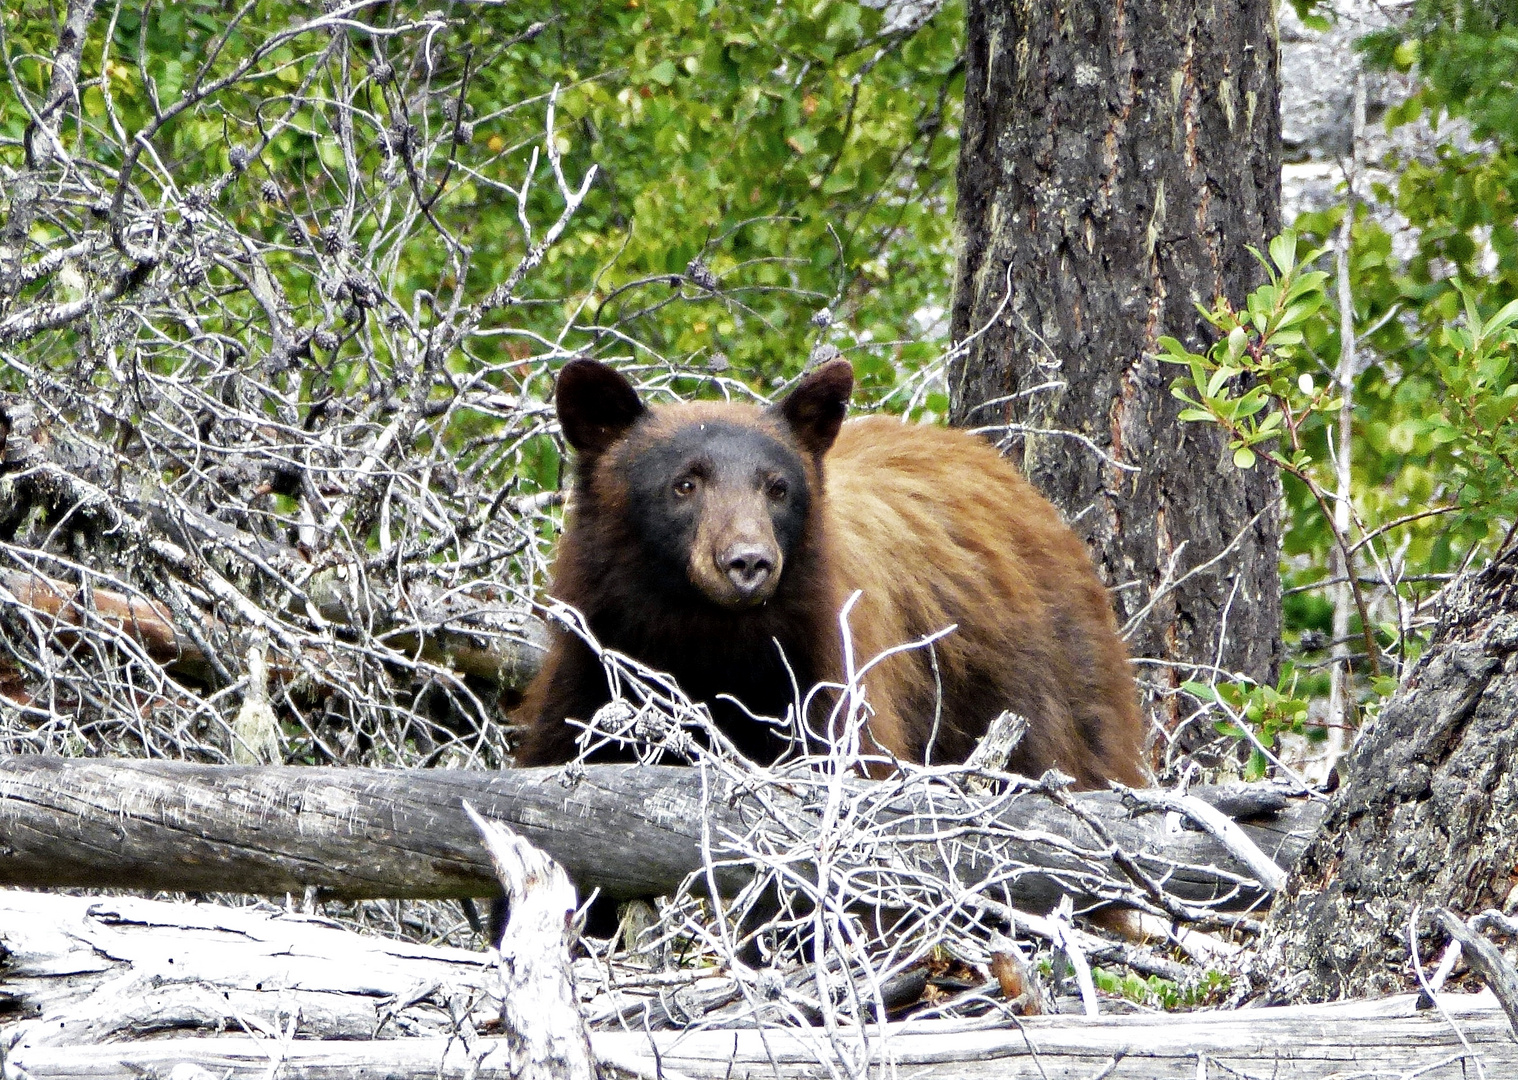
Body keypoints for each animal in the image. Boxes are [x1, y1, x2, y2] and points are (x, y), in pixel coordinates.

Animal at [516, 358, 1141, 789]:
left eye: (777, 488)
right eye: (684, 484)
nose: (748, 562)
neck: (708, 642)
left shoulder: (828, 665)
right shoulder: (594, 664)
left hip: (1044, 689)